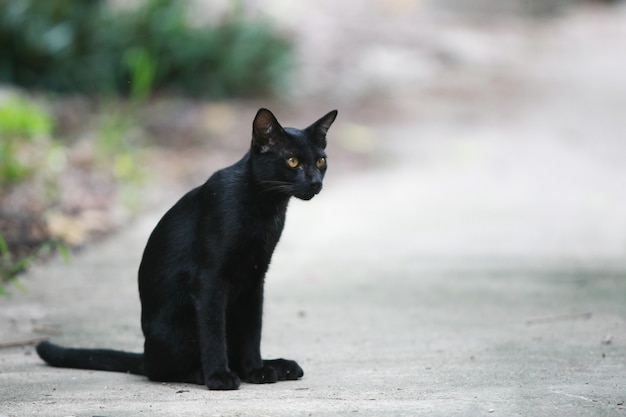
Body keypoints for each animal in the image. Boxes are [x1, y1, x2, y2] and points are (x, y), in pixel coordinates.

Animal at [35, 108, 336, 390]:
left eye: (321, 161)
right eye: (292, 161)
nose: (315, 182)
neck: (265, 208)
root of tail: (146, 352)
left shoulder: (255, 279)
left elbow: (253, 331)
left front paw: (257, 371)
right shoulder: (209, 278)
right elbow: (213, 332)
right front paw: (219, 376)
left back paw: (277, 366)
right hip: (179, 324)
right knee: (160, 370)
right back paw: (204, 373)